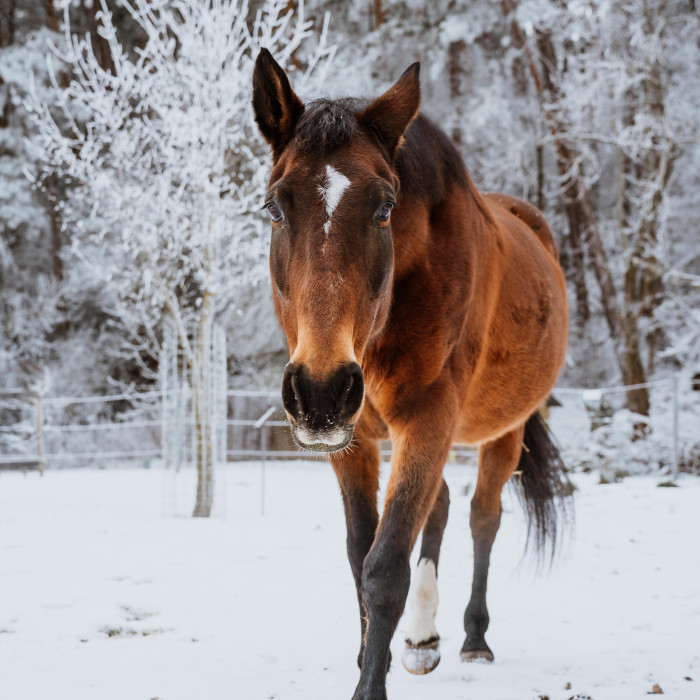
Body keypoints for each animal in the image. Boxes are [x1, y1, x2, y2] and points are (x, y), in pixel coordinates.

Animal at [254, 50, 572, 700]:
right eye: (274, 206)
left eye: (383, 208)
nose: (321, 390)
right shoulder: (352, 442)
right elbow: (361, 554)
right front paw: (365, 657)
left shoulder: (429, 416)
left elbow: (385, 570)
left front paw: (368, 685)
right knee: (443, 504)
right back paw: (423, 640)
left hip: (505, 429)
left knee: (482, 517)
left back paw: (473, 638)